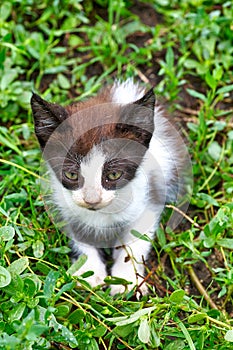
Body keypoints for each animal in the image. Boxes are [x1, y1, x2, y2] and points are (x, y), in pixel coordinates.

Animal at [30, 79, 187, 296]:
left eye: (113, 175)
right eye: (71, 175)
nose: (92, 200)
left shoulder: (150, 196)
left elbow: (136, 240)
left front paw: (126, 281)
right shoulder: (67, 204)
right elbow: (79, 234)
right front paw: (90, 273)